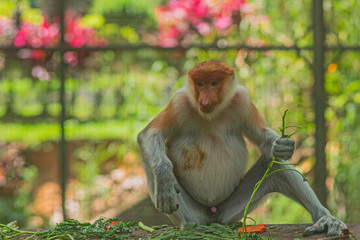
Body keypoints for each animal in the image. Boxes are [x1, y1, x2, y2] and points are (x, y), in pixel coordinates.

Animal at [137, 59, 346, 236]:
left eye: (214, 83)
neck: (212, 114)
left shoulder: (242, 101)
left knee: (275, 165)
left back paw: (325, 219)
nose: (205, 100)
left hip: (231, 210)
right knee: (150, 162)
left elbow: (264, 140)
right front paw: (164, 182)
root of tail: (212, 215)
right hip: (198, 212)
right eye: (200, 84)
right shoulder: (179, 103)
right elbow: (149, 135)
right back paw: (189, 224)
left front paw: (284, 146)